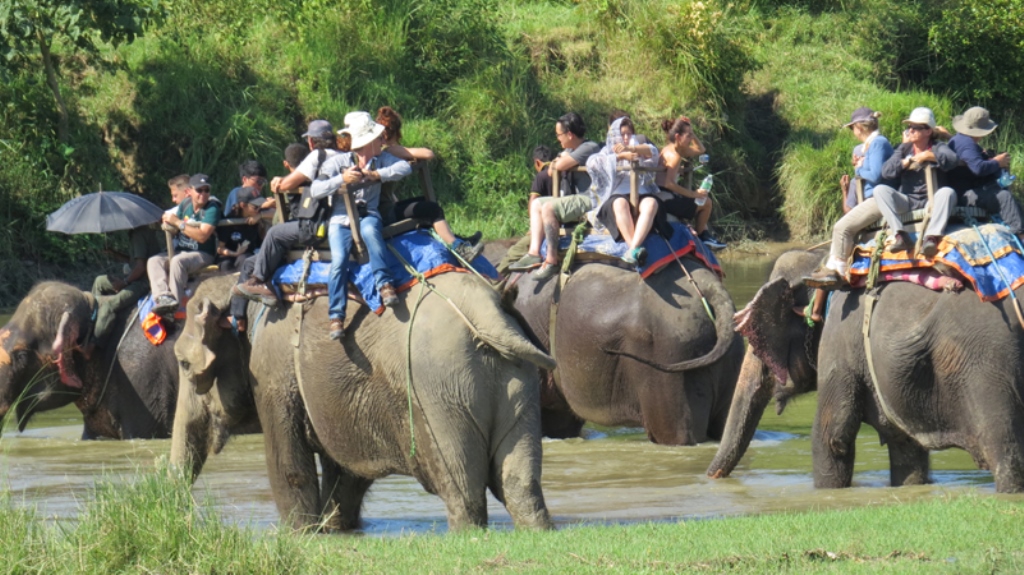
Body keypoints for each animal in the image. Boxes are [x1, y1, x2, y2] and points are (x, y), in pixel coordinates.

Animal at [174, 270, 561, 532]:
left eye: (183, 364)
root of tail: (489, 311)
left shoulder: (272, 370)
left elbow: (290, 467)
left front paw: (302, 533)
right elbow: (345, 474)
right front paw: (335, 529)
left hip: (440, 392)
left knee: (461, 488)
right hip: (517, 382)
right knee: (518, 483)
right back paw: (536, 528)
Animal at [708, 247, 1024, 493]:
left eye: (755, 343)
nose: (709, 477)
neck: (819, 263)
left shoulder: (838, 341)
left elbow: (830, 437)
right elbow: (906, 451)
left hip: (987, 368)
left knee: (1004, 449)